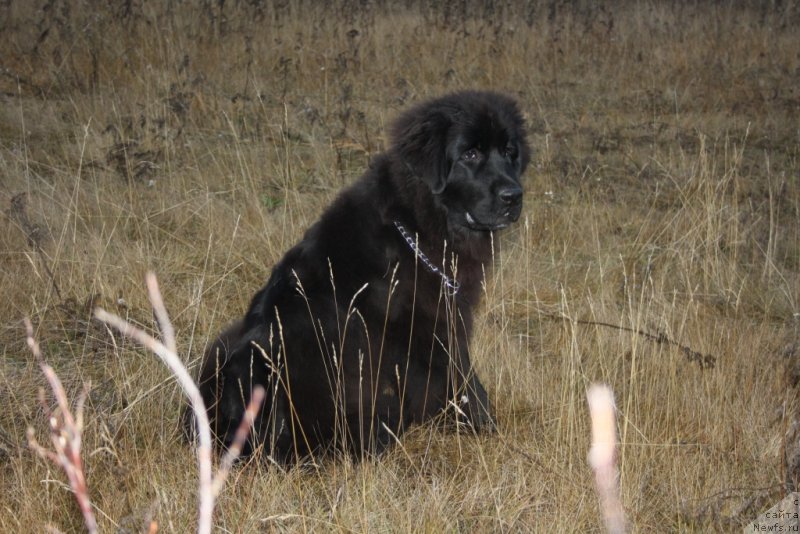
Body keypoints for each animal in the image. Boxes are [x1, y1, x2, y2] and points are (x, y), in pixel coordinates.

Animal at [184, 92, 528, 464]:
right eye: (470, 154)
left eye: (509, 152)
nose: (514, 195)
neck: (412, 227)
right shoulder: (429, 331)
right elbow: (463, 383)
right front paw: (488, 427)